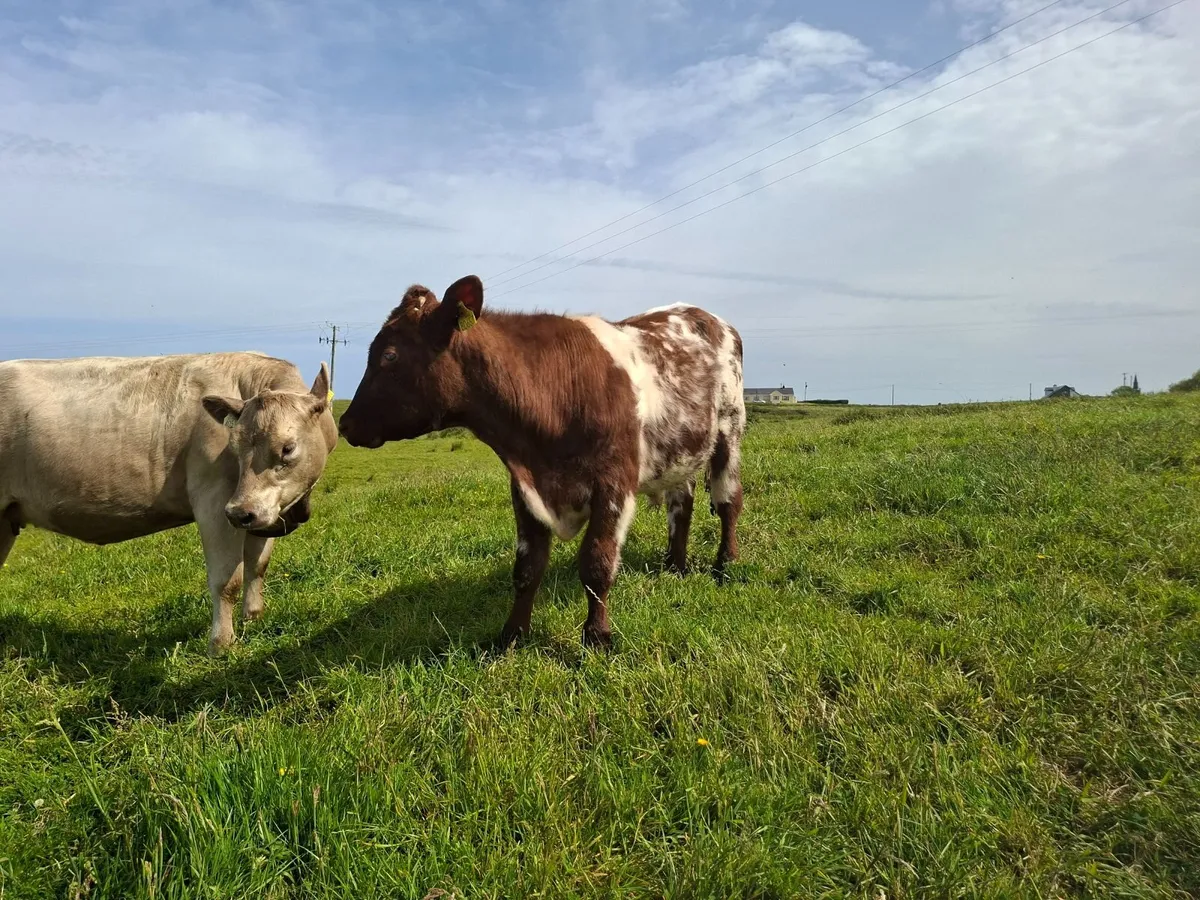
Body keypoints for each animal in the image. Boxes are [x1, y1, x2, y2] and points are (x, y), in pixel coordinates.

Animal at [0, 352, 338, 654]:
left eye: (287, 448)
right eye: (235, 447)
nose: (239, 512)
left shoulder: (260, 514)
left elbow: (258, 566)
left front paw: (253, 620)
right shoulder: (216, 502)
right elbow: (226, 580)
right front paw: (221, 644)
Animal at [338, 275, 745, 649]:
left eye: (389, 355)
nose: (344, 423)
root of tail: (704, 315)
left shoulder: (614, 484)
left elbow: (597, 563)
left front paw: (597, 636)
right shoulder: (524, 488)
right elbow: (527, 567)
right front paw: (512, 635)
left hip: (729, 428)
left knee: (728, 501)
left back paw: (725, 565)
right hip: (680, 450)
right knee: (682, 504)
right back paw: (675, 566)